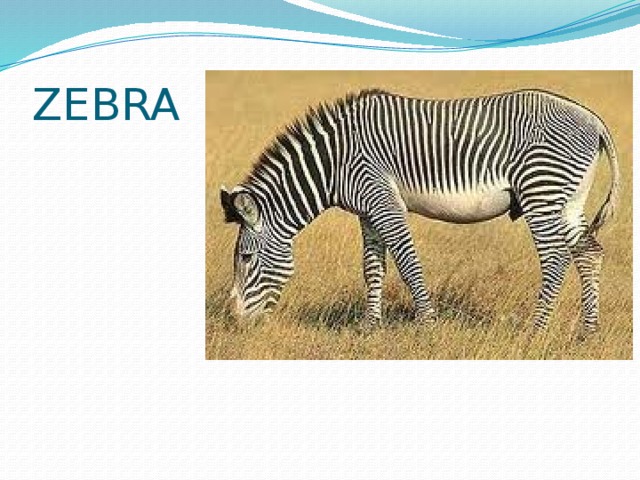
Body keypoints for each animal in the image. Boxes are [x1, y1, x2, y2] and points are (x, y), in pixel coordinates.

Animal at [220, 88, 620, 339]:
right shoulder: (367, 211)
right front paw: (369, 328)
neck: (334, 163)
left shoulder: (383, 200)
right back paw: (588, 331)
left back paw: (536, 330)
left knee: (555, 258)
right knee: (589, 253)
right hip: (568, 200)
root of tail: (593, 119)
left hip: (541, 191)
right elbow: (372, 267)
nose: (234, 322)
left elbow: (408, 263)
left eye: (246, 257)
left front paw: (427, 324)